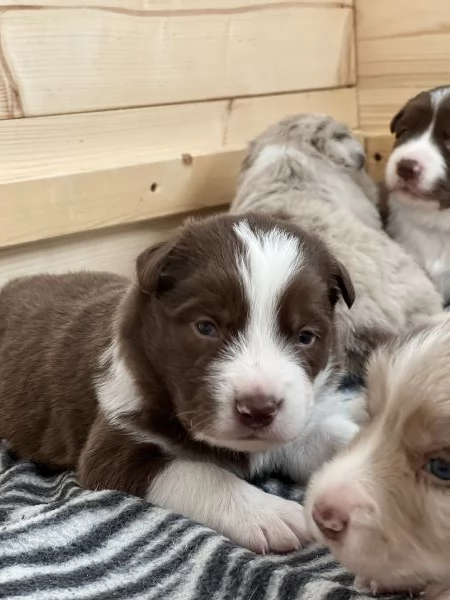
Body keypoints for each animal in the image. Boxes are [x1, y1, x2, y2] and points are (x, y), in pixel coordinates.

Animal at [0, 211, 358, 552]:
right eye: (206, 327)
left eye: (306, 337)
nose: (258, 409)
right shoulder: (114, 446)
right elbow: (201, 473)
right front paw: (269, 513)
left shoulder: (302, 422)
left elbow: (337, 440)